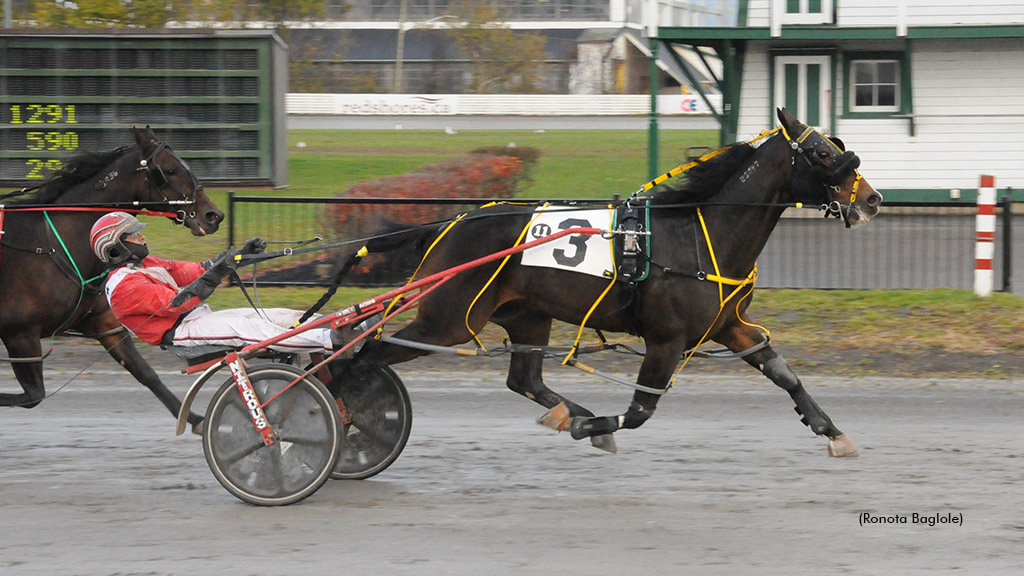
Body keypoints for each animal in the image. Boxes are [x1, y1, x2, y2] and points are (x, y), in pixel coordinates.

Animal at [0, 125, 224, 428]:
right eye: (170, 169)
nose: (213, 215)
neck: (50, 244)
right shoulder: (20, 334)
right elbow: (33, 395)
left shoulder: (103, 323)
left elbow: (146, 373)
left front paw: (196, 418)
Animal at [333, 109, 880, 455]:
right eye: (822, 154)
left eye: (835, 147)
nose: (872, 199)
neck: (699, 235)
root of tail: (452, 222)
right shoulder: (666, 338)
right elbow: (640, 411)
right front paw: (591, 426)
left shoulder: (728, 326)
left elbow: (782, 373)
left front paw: (832, 431)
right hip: (447, 320)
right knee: (365, 355)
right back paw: (341, 412)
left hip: (526, 315)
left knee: (524, 379)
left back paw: (564, 412)